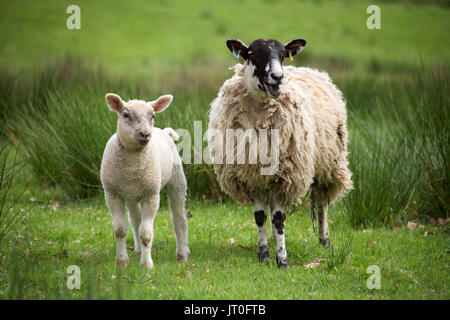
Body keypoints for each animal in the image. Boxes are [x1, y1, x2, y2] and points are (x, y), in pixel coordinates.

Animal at [100, 94, 190, 268]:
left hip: (176, 180)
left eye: (153, 115)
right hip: (132, 195)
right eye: (125, 115)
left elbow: (146, 233)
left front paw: (146, 265)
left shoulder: (152, 195)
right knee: (135, 220)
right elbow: (120, 230)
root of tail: (164, 131)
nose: (145, 134)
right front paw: (122, 262)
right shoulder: (111, 194)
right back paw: (138, 250)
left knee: (179, 217)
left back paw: (182, 254)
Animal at [207, 38, 352, 268]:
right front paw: (264, 254)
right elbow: (260, 216)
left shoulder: (283, 176)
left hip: (329, 163)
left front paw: (282, 259)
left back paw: (324, 240)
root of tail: (310, 69)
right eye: (252, 54)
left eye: (283, 54)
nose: (278, 77)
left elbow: (278, 219)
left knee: (322, 202)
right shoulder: (253, 175)